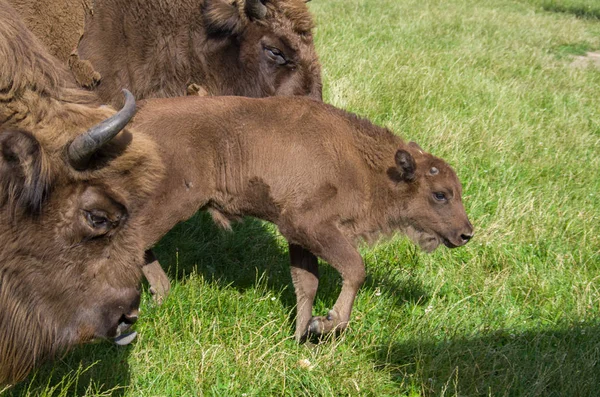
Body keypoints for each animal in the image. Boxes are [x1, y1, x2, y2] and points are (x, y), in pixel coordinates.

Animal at [130, 95, 474, 340]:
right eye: (440, 194)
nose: (466, 233)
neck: (362, 161)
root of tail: (139, 118)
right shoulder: (309, 226)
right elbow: (355, 268)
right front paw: (326, 323)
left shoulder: (299, 236)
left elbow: (307, 283)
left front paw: (300, 335)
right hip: (174, 202)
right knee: (135, 240)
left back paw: (160, 296)